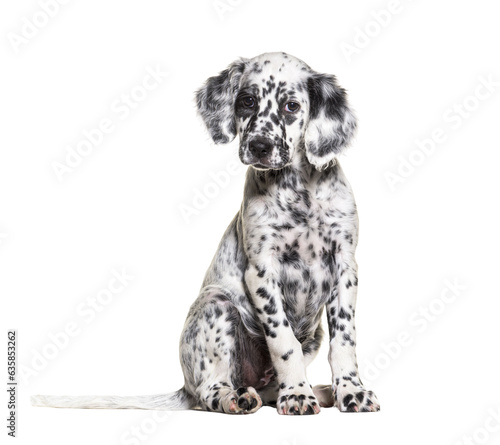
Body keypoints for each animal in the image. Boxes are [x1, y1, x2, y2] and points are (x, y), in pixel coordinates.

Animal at [33, 53, 378, 414]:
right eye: (247, 101)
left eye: (291, 106)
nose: (259, 146)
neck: (300, 192)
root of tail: (186, 386)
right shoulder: (261, 271)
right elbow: (284, 343)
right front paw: (297, 394)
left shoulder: (345, 267)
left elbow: (344, 340)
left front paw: (350, 390)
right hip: (217, 305)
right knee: (212, 390)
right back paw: (239, 397)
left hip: (311, 334)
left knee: (268, 390)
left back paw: (321, 392)